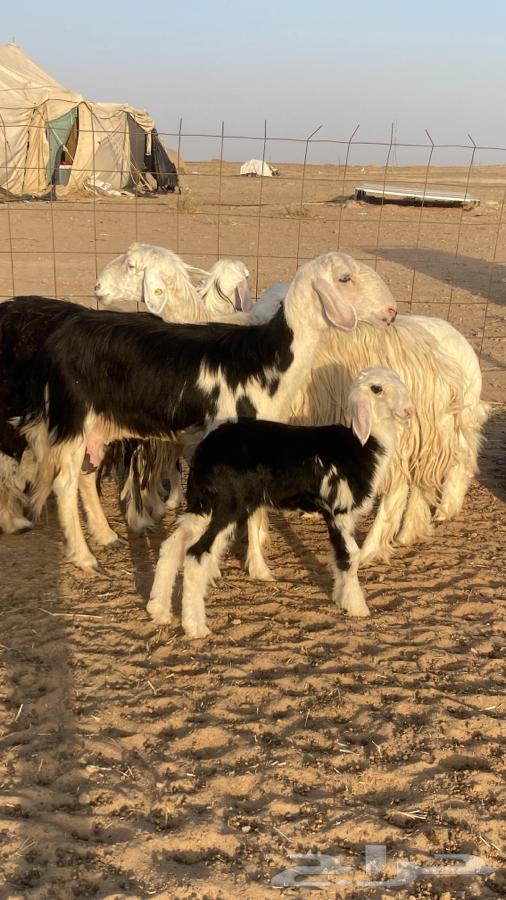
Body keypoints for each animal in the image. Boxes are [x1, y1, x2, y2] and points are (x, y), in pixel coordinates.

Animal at [11, 251, 397, 573]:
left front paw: (255, 561)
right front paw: (257, 568)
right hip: (73, 416)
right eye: (345, 278)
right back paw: (85, 557)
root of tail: (56, 340)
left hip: (100, 425)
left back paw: (106, 537)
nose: (391, 312)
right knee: (63, 483)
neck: (266, 361)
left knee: (85, 478)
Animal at [148, 367, 413, 639]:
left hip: (202, 504)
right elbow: (350, 556)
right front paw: (357, 607)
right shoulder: (339, 511)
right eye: (377, 389)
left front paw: (341, 598)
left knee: (172, 545)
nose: (408, 411)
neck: (361, 446)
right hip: (228, 506)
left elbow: (340, 556)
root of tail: (204, 451)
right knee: (196, 554)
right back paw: (196, 627)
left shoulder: (336, 515)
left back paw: (159, 611)